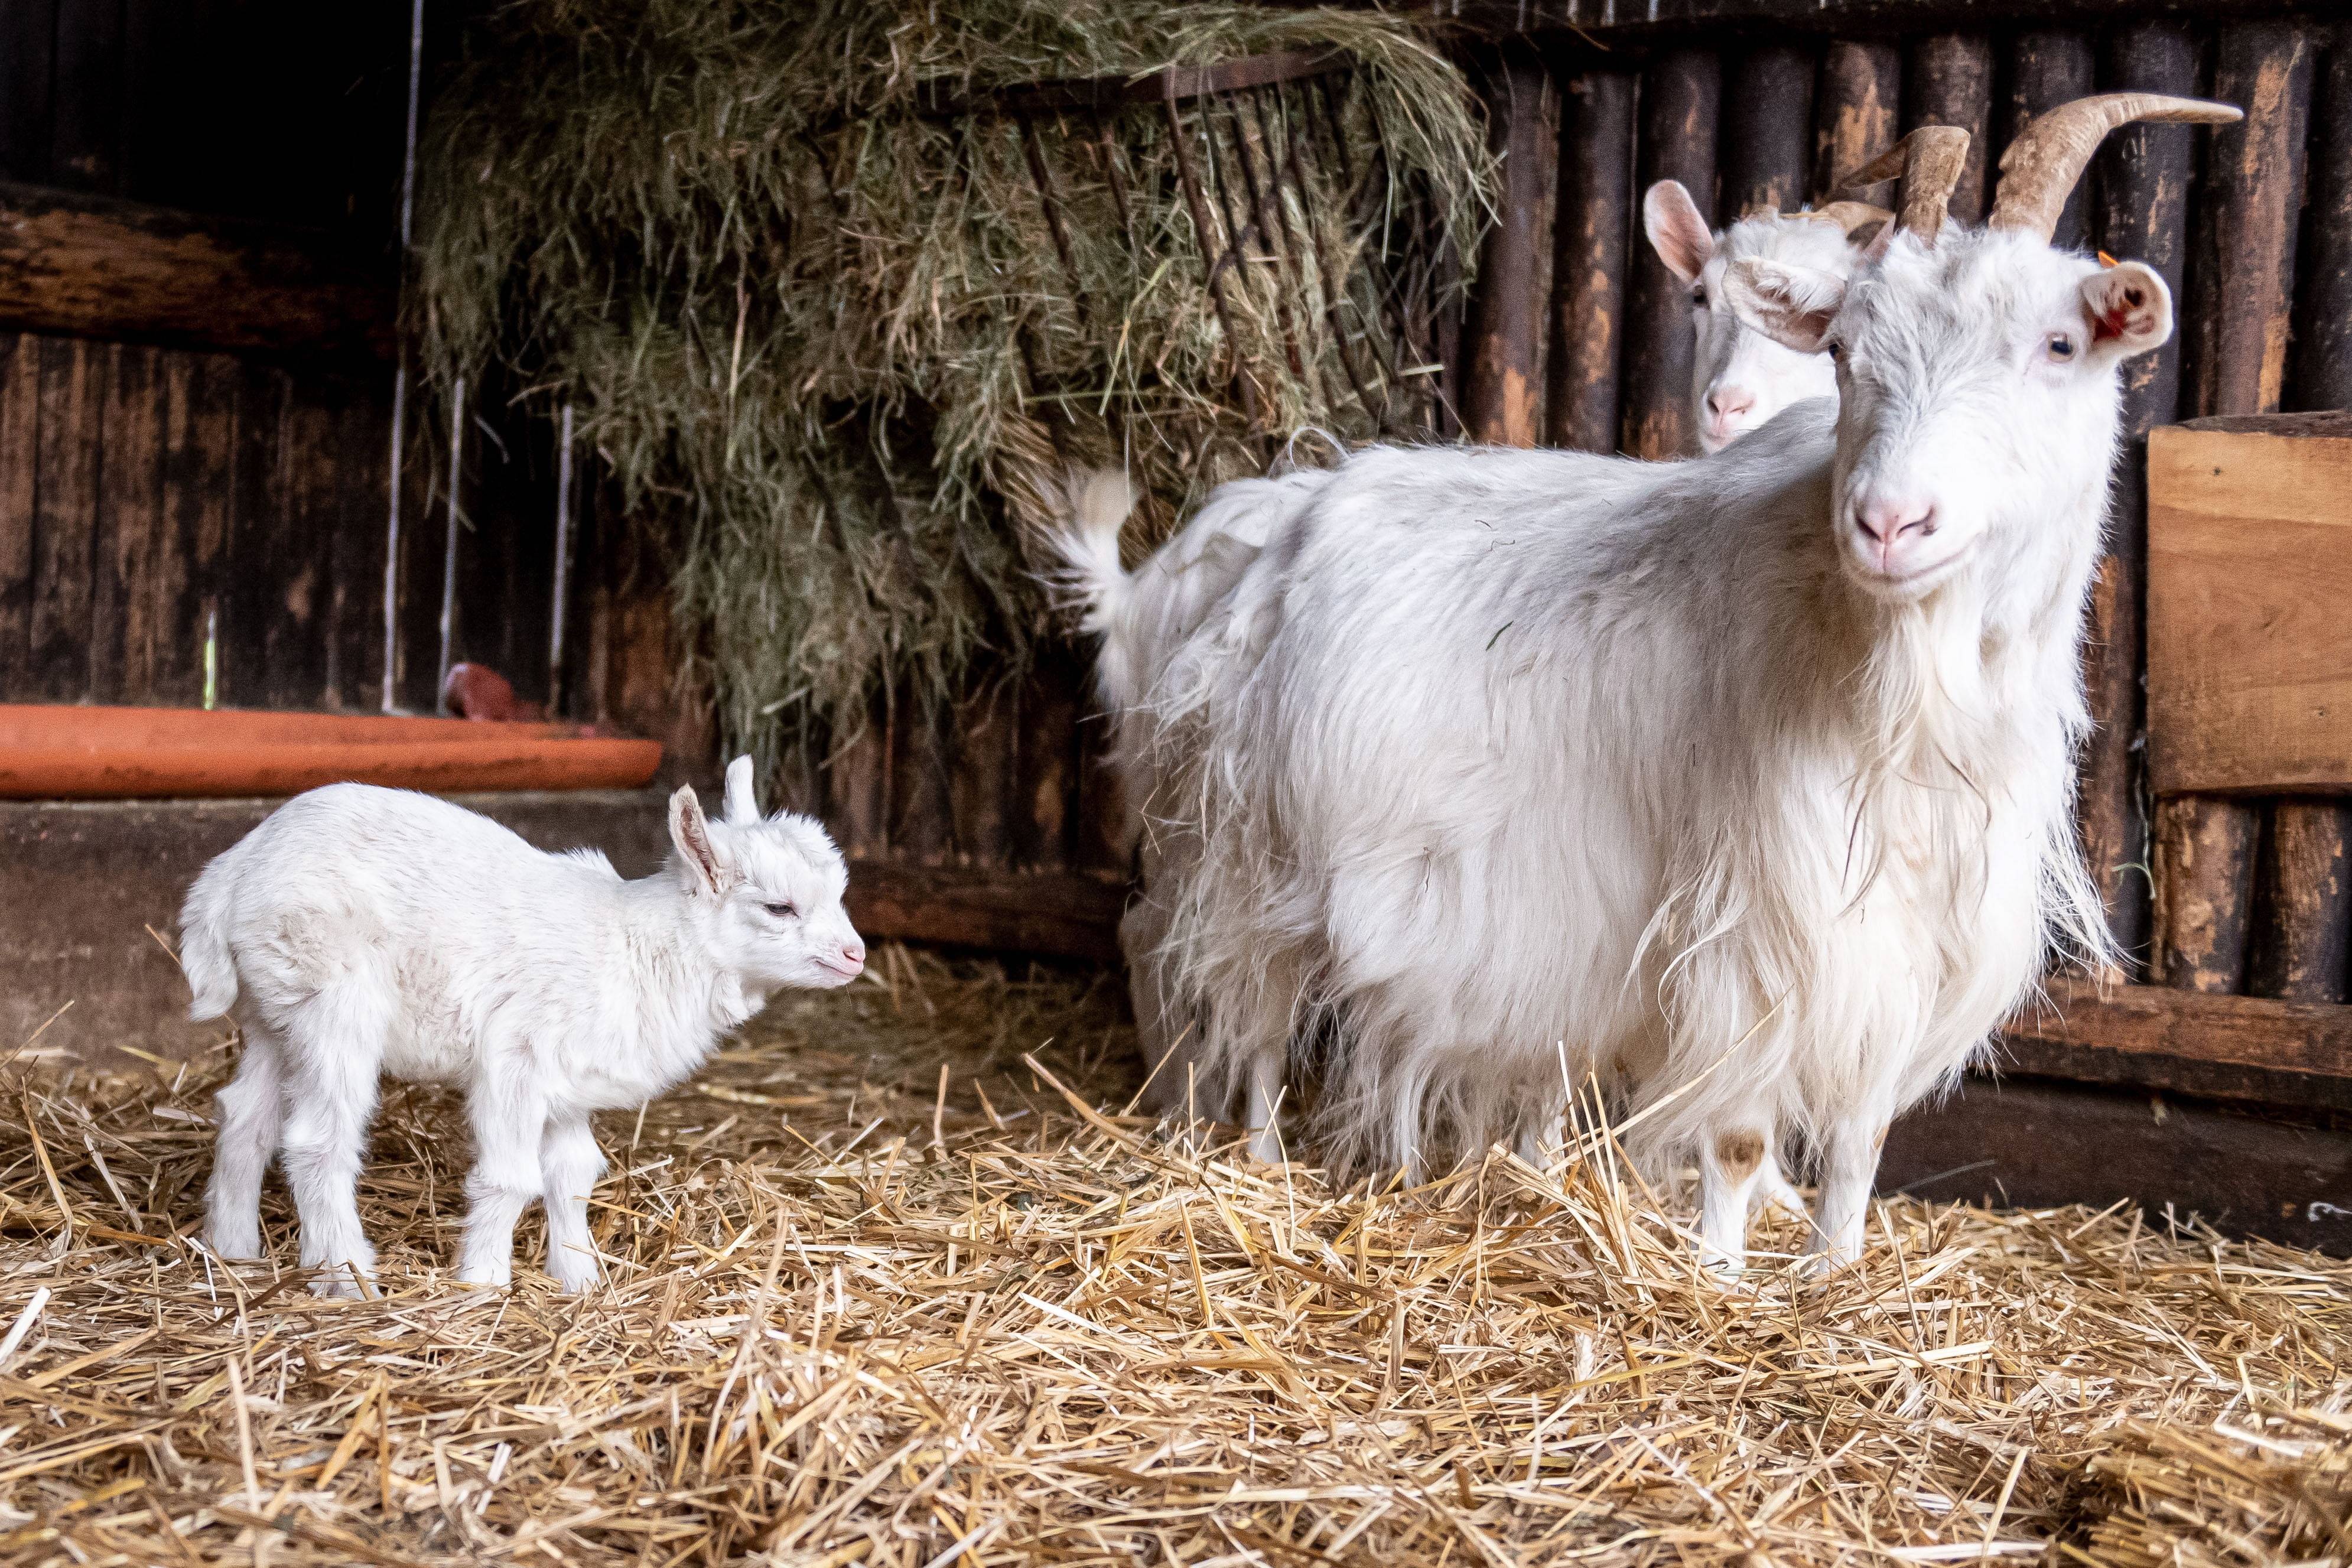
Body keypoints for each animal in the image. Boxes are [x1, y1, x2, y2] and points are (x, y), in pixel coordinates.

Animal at [183, 762, 866, 1297]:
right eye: (779, 907)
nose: (855, 955)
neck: (638, 947)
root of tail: (229, 875)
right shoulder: (515, 1059)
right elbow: (510, 1178)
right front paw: (483, 1285)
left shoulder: (569, 1085)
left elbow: (573, 1175)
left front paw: (579, 1280)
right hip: (333, 998)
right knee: (317, 1140)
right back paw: (347, 1279)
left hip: (275, 1009)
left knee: (245, 1114)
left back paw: (234, 1248)